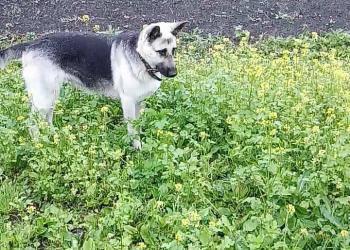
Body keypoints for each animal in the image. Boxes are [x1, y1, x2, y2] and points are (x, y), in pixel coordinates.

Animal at [0, 21, 189, 148]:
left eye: (174, 51)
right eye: (161, 52)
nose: (174, 73)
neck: (140, 56)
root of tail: (32, 43)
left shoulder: (138, 103)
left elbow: (138, 125)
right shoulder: (128, 102)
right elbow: (132, 130)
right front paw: (136, 149)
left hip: (49, 96)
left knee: (46, 120)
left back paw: (54, 137)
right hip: (44, 98)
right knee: (32, 124)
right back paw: (39, 143)